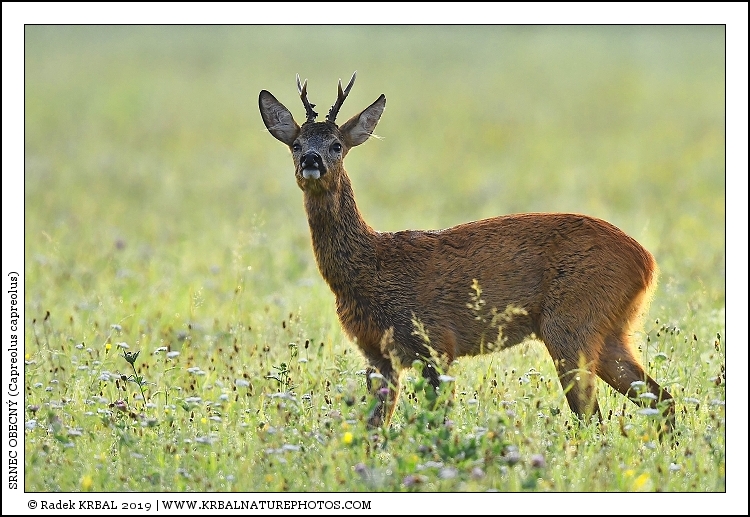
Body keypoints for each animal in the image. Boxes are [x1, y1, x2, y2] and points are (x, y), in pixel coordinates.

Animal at [258, 72, 675, 437]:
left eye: (337, 145)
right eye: (296, 144)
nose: (311, 161)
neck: (371, 267)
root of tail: (646, 261)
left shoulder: (437, 343)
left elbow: (437, 421)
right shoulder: (377, 354)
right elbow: (374, 428)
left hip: (571, 323)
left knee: (594, 416)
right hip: (610, 329)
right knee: (661, 397)